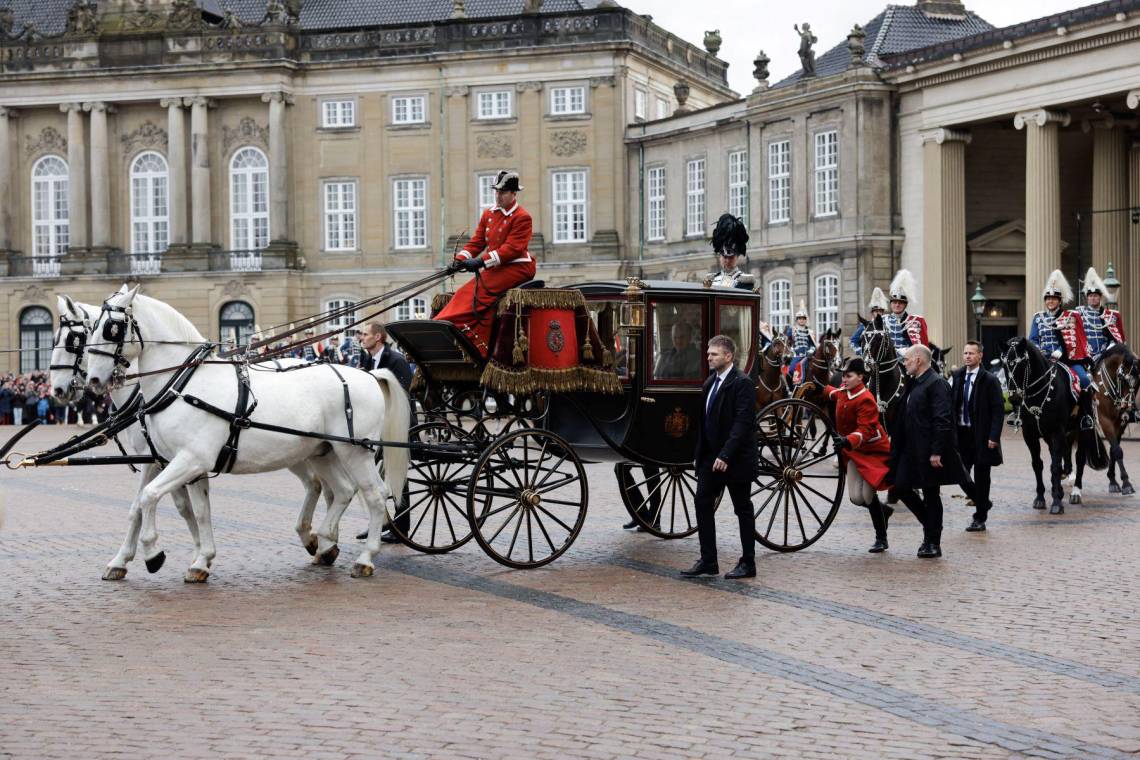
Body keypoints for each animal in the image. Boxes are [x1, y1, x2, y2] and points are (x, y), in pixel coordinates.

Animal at [83, 287, 410, 583]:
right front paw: (201, 560)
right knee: (341, 490)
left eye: (112, 328)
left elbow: (148, 497)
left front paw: (153, 553)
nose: (92, 381)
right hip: (323, 451)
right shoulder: (184, 465)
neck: (185, 384)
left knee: (375, 495)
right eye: (90, 329)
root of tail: (368, 375)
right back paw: (324, 541)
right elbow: (196, 511)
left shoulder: (190, 460)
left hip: (355, 452)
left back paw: (364, 558)